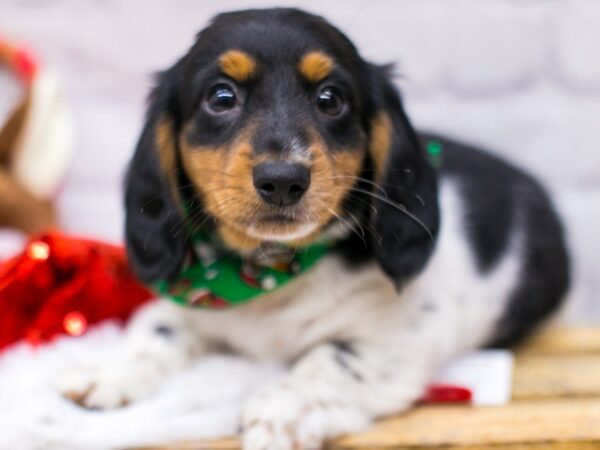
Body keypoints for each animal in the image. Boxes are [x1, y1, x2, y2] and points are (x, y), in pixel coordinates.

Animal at [59, 7, 568, 450]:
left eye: (331, 99)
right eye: (221, 97)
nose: (283, 180)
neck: (267, 271)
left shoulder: (395, 343)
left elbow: (330, 361)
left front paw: (278, 412)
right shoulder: (193, 305)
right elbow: (157, 329)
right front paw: (108, 373)